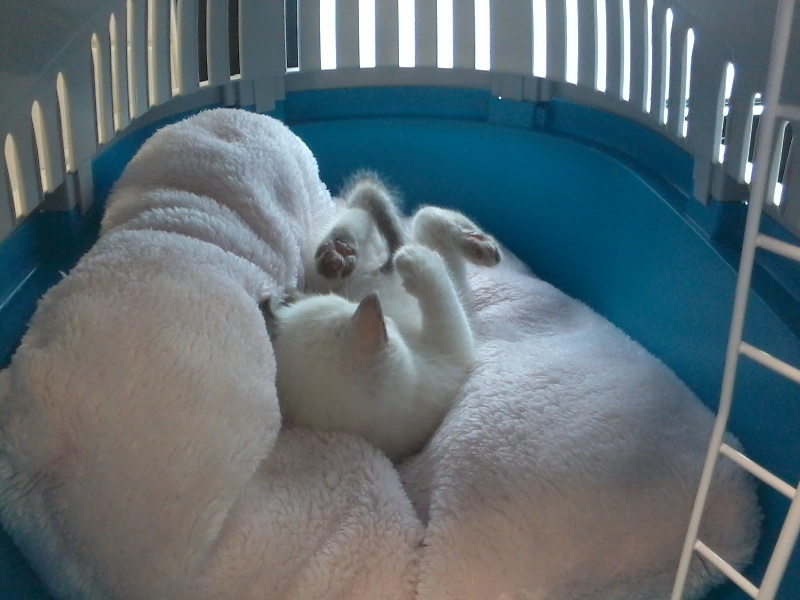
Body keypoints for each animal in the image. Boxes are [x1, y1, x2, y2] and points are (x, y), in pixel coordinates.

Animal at [262, 173, 500, 460]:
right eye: (385, 323)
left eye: (348, 301)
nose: (373, 300)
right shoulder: (452, 353)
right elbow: (441, 290)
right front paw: (414, 260)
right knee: (421, 230)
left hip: (326, 269)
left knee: (396, 212)